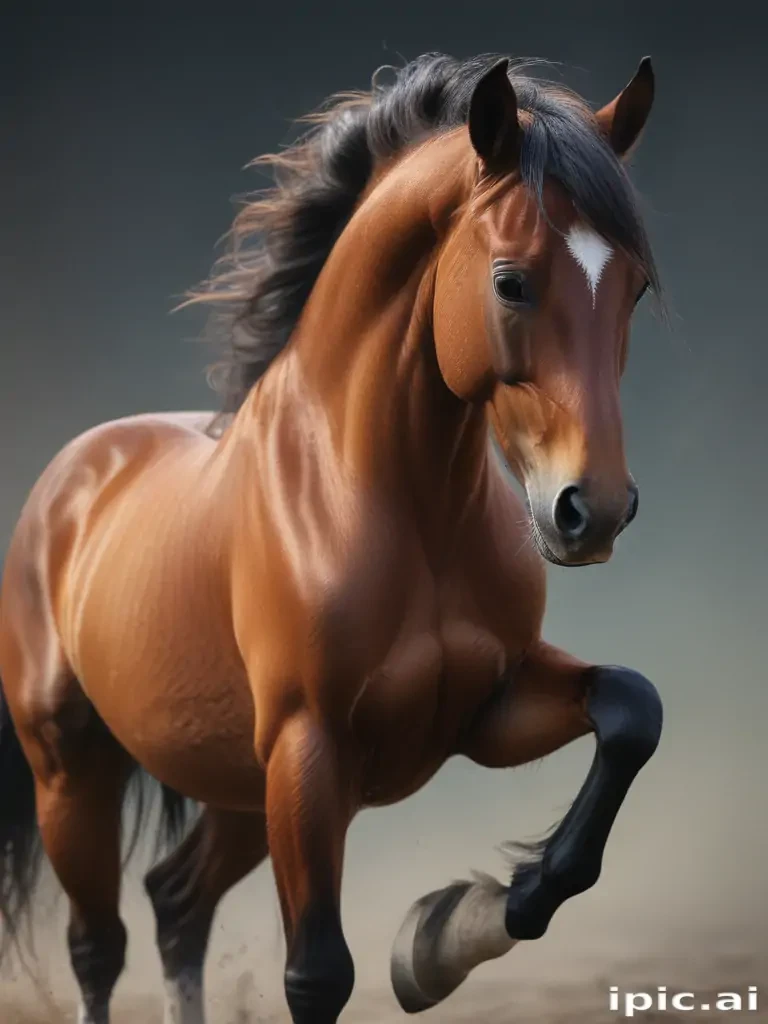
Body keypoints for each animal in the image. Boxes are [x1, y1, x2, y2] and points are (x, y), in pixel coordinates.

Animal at [0, 52, 664, 1024]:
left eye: (636, 286)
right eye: (511, 280)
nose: (596, 509)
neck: (397, 507)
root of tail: (70, 480)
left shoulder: (485, 710)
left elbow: (629, 713)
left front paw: (440, 938)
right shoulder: (310, 753)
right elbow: (317, 974)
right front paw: (433, 940)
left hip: (238, 788)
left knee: (175, 904)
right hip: (74, 775)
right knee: (99, 947)